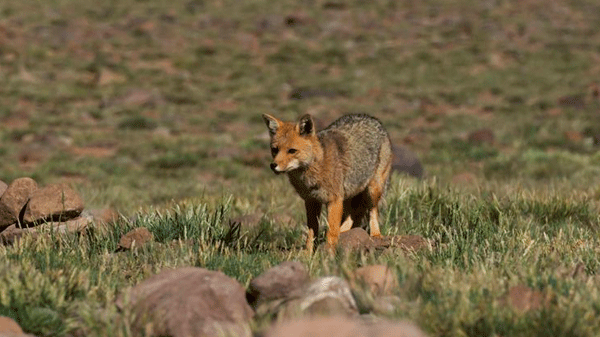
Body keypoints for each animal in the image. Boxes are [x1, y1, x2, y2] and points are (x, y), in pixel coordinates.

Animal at [262, 113, 394, 249]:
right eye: (275, 150)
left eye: (292, 151)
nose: (273, 165)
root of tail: (370, 117)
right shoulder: (311, 201)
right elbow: (312, 233)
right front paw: (307, 253)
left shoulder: (334, 200)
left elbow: (331, 232)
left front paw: (328, 252)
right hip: (347, 196)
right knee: (352, 216)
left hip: (372, 191)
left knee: (372, 211)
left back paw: (375, 234)